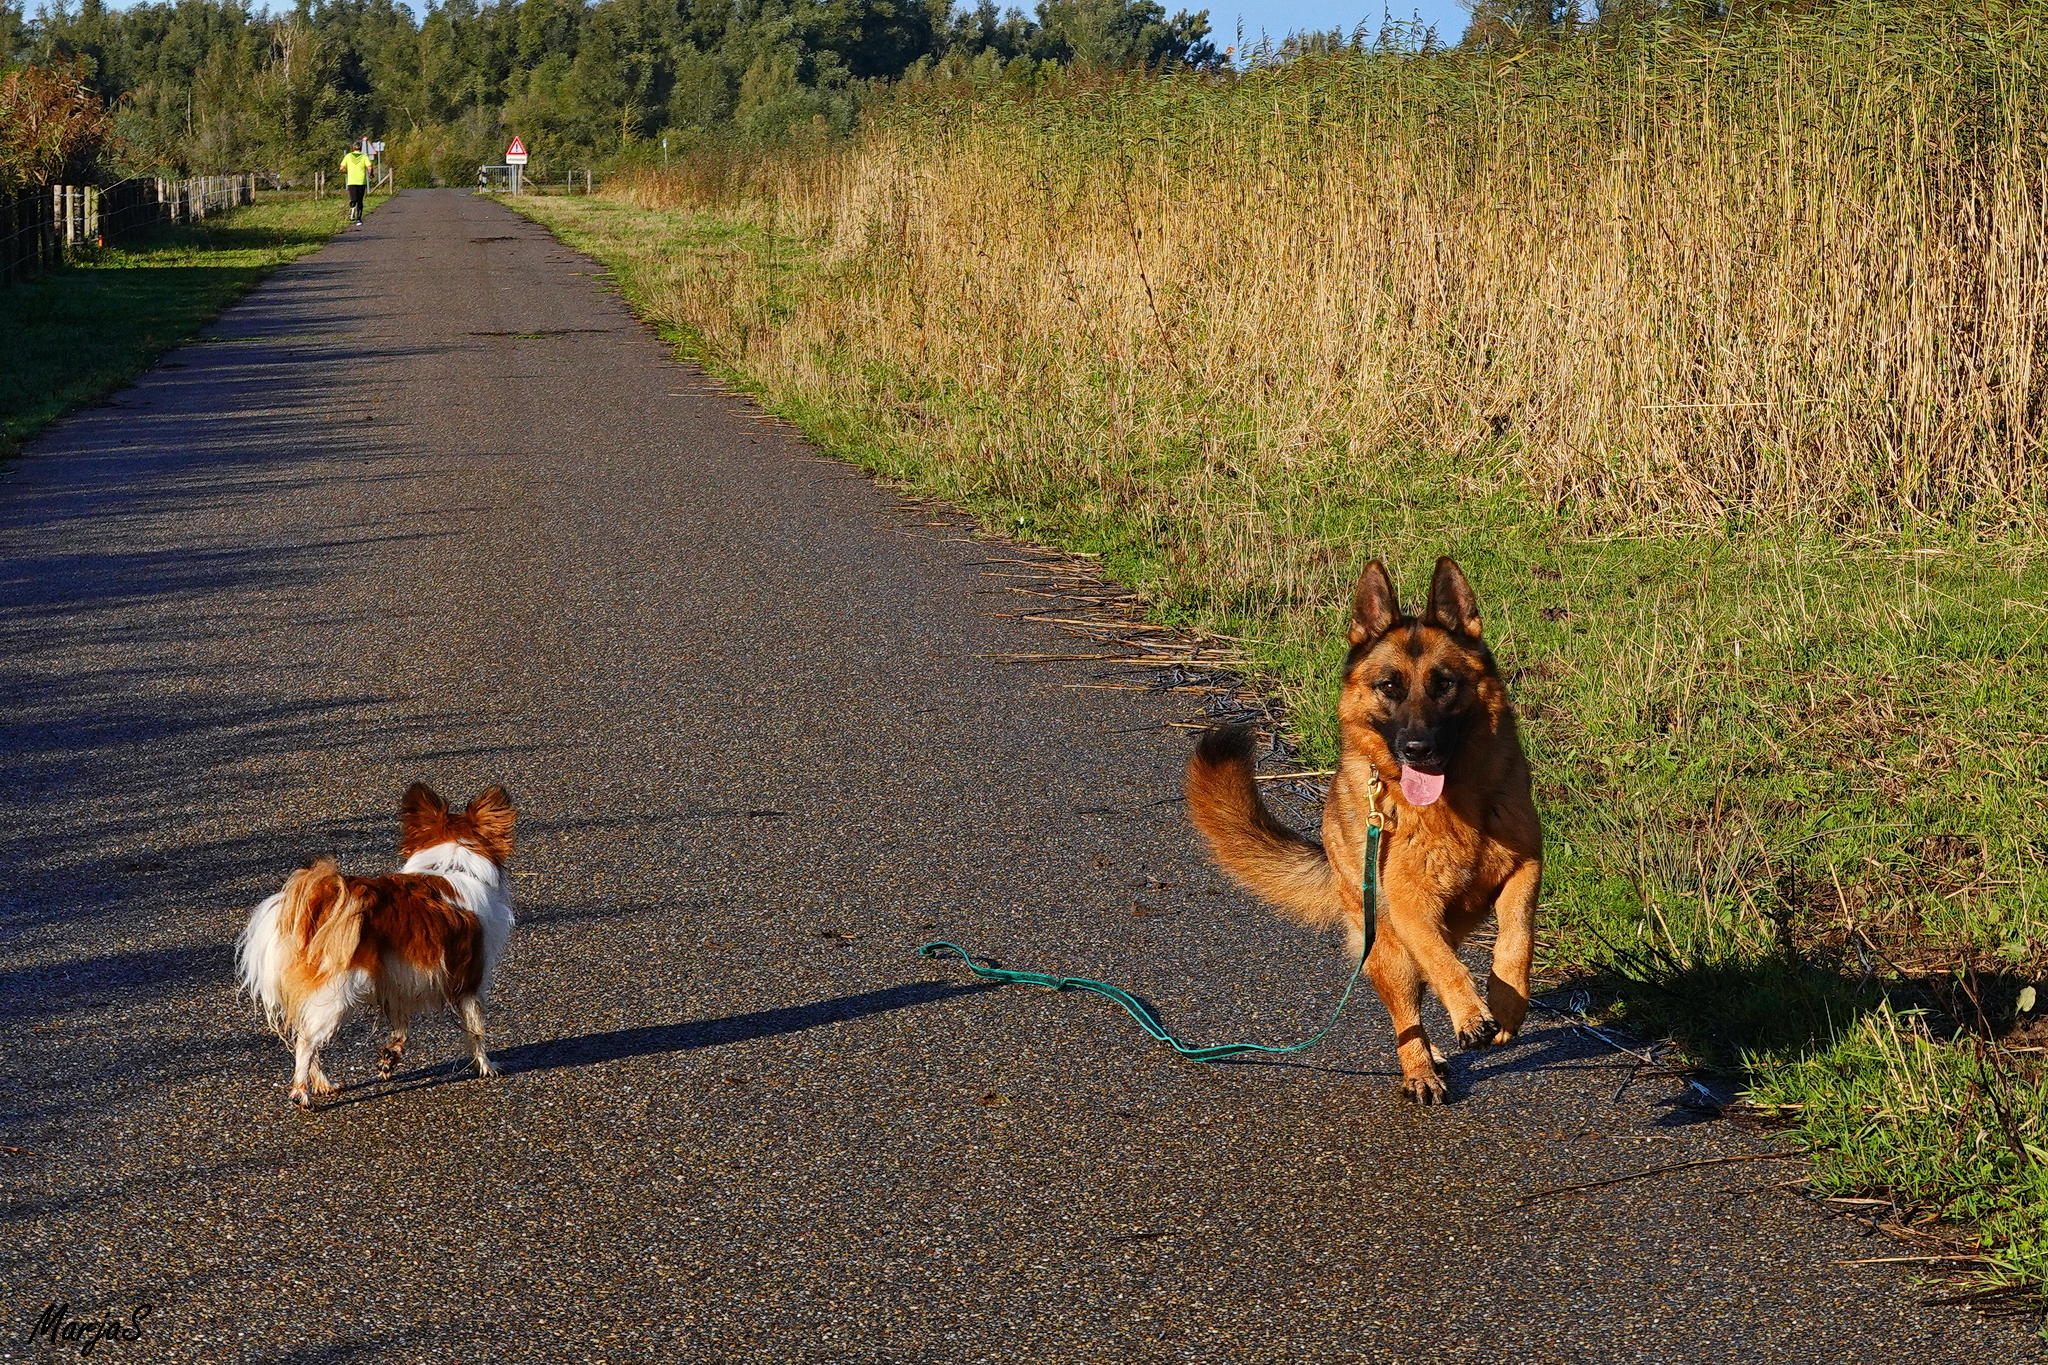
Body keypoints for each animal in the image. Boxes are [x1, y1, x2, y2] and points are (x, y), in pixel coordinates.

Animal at [236, 785, 516, 1105]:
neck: (453, 864)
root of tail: (315, 908)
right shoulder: (470, 978)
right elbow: (476, 1029)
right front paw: (487, 1066)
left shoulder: (397, 982)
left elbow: (401, 1029)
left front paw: (389, 1058)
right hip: (336, 996)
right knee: (307, 1043)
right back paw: (301, 1093)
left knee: (305, 1038)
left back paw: (324, 1084)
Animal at [1187, 556, 1540, 1096]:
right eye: (1390, 687)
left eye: (1444, 684)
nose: (1417, 749)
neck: (1451, 805)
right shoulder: (1413, 908)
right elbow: (1444, 964)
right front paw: (1469, 1013)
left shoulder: (1525, 869)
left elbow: (1516, 938)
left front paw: (1506, 1003)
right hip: (1388, 947)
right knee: (1408, 1011)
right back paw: (1421, 1068)